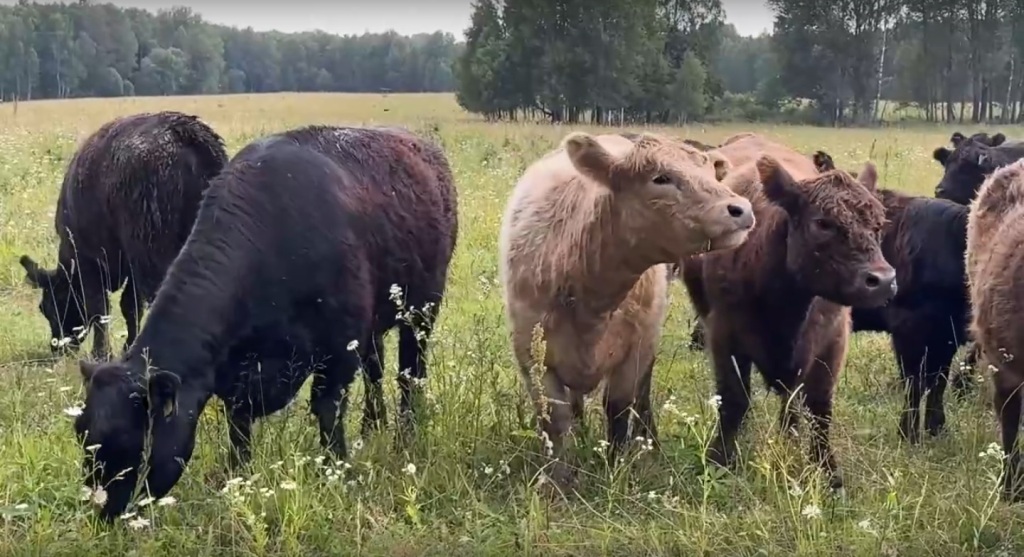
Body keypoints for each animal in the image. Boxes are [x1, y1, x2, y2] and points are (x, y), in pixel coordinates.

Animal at [18, 111, 228, 358]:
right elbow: (131, 307)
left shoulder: (91, 262)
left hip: (153, 255)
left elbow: (101, 310)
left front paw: (101, 353)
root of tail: (185, 134)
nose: (58, 348)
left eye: (47, 306)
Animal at [70, 125, 458, 522]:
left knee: (410, 374)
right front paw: (238, 478)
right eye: (81, 431)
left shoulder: (338, 353)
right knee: (375, 370)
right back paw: (372, 426)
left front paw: (336, 472)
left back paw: (405, 434)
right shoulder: (235, 376)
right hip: (374, 327)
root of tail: (421, 146)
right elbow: (238, 427)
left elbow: (328, 411)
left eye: (128, 438)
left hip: (420, 312)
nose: (102, 512)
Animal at [499, 130, 757, 487]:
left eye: (709, 173)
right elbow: (555, 418)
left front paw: (616, 467)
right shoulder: (531, 355)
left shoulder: (635, 350)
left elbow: (619, 409)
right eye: (660, 178)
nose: (741, 209)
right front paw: (557, 480)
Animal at [684, 150, 892, 489]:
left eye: (878, 225)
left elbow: (820, 407)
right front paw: (720, 462)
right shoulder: (724, 336)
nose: (884, 280)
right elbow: (734, 400)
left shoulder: (832, 342)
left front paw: (829, 473)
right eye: (822, 223)